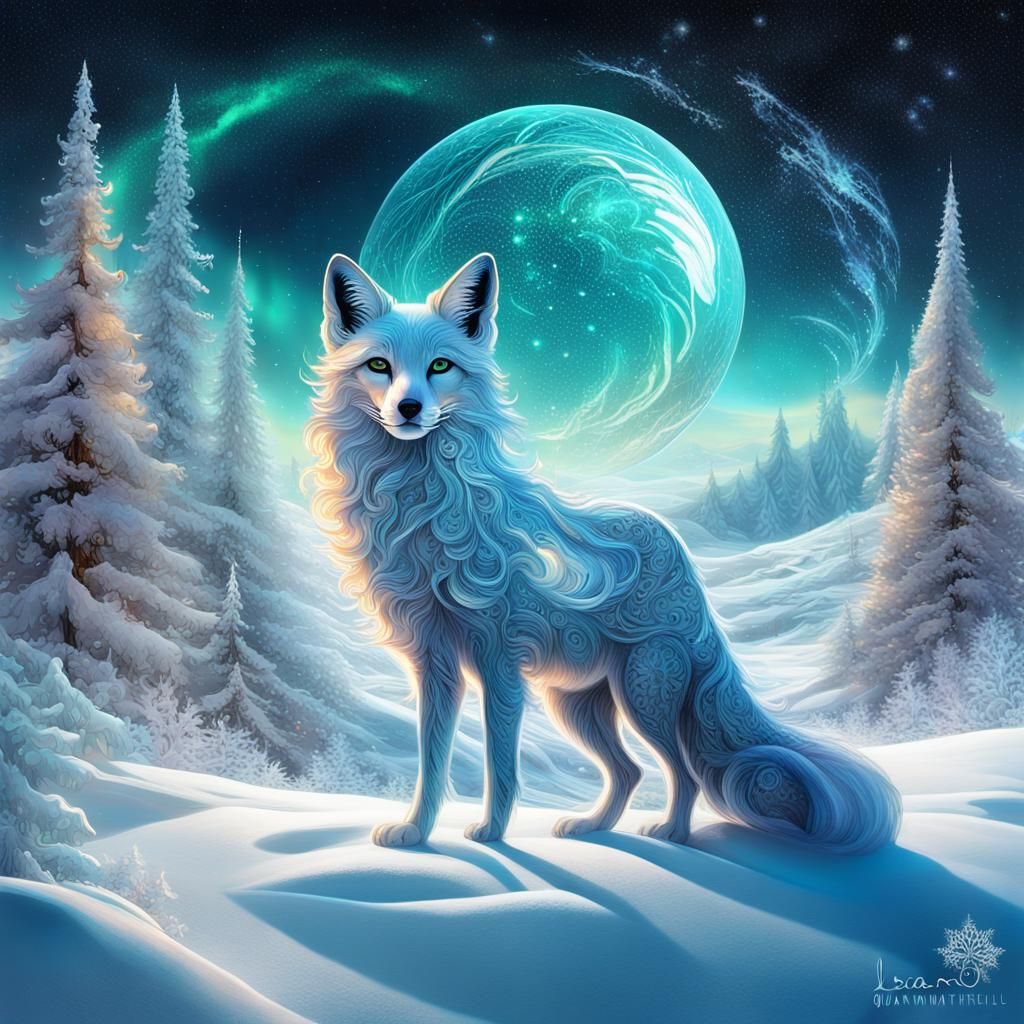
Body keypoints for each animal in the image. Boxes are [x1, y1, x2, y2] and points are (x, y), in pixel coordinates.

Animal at [305, 251, 902, 853]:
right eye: (379, 366)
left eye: (441, 367)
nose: (408, 408)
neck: (424, 508)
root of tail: (680, 554)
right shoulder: (435, 663)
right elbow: (431, 761)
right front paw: (416, 832)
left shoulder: (499, 661)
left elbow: (501, 763)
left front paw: (493, 835)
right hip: (575, 704)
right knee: (630, 771)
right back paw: (593, 827)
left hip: (643, 694)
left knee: (681, 772)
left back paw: (673, 836)